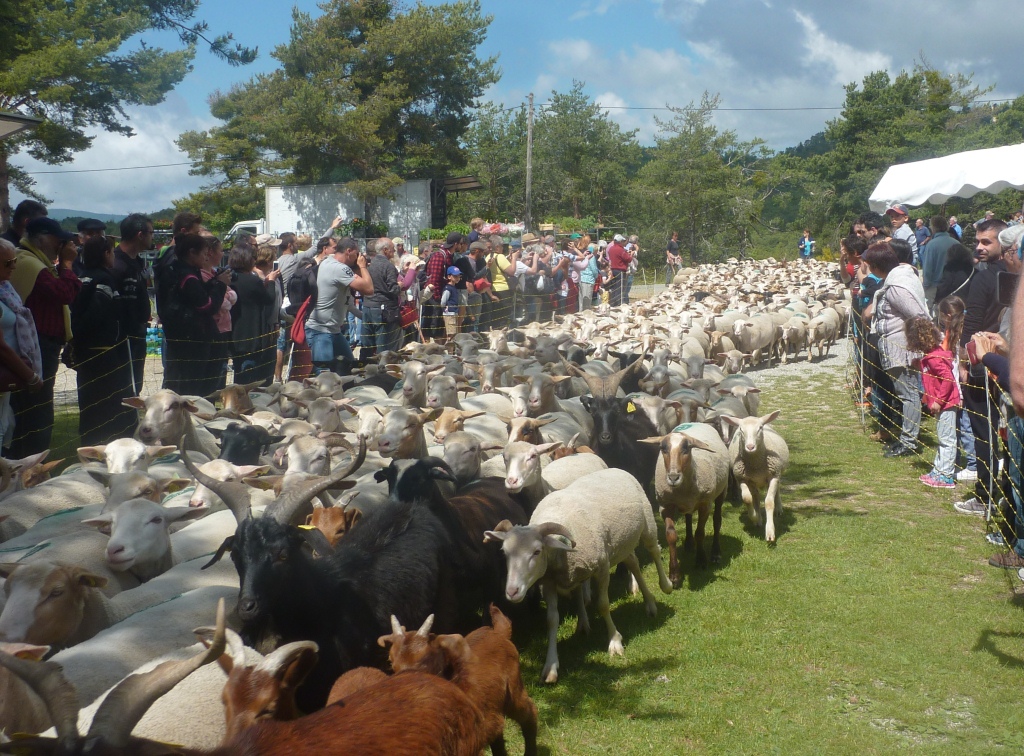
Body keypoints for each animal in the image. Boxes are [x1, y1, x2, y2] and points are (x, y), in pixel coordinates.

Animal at [485, 467, 673, 683]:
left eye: (537, 551)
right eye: (504, 552)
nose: (512, 592)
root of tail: (615, 469)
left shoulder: (602, 567)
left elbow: (603, 605)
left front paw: (614, 642)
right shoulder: (549, 581)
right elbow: (552, 619)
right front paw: (551, 666)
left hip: (648, 523)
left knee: (654, 551)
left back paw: (666, 586)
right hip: (621, 544)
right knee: (633, 564)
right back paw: (648, 603)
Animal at [640, 423, 730, 585]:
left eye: (686, 449)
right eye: (663, 449)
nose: (673, 477)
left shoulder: (705, 505)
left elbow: (700, 533)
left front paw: (701, 561)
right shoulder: (665, 506)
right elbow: (671, 536)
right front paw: (674, 575)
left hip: (722, 490)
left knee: (717, 520)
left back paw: (715, 553)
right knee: (688, 518)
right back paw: (688, 543)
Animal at [724, 410, 790, 543]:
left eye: (760, 428)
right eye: (741, 429)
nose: (750, 447)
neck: (756, 464)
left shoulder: (773, 476)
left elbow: (769, 502)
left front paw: (770, 532)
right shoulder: (742, 479)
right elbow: (747, 499)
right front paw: (755, 517)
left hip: (777, 473)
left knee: (777, 491)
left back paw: (778, 509)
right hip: (753, 482)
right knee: (756, 497)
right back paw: (758, 518)